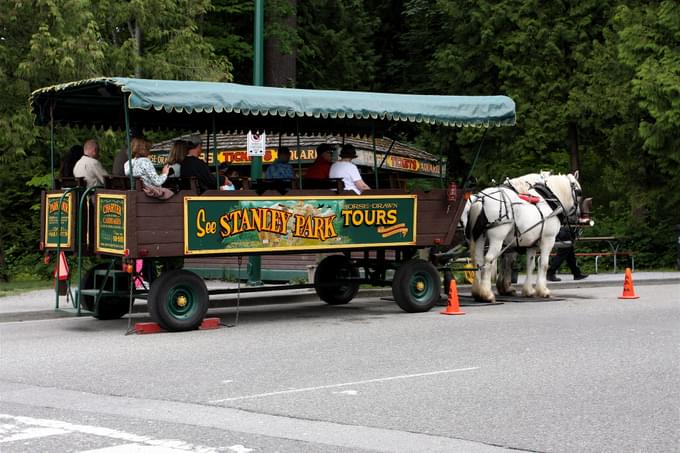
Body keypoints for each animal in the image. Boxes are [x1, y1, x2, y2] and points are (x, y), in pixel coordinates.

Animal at [462, 171, 584, 302]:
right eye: (579, 192)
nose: (577, 215)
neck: (549, 201)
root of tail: (482, 199)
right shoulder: (548, 240)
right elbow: (544, 264)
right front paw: (543, 290)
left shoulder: (531, 244)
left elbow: (530, 265)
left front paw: (528, 290)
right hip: (497, 238)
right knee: (489, 259)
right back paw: (486, 294)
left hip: (480, 237)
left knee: (478, 260)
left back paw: (477, 292)